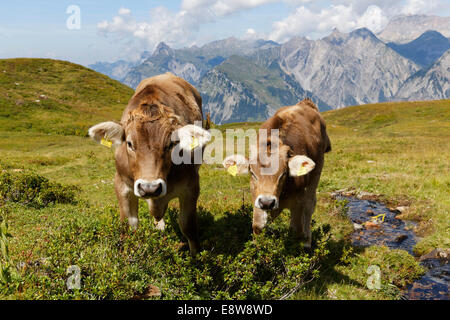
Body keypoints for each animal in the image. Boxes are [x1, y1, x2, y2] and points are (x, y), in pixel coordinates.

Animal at [88, 72, 211, 255]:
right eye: (129, 144)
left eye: (170, 144)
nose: (149, 188)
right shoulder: (121, 184)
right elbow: (128, 225)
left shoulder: (191, 186)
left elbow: (188, 225)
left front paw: (197, 257)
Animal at [222, 99, 330, 249]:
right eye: (252, 173)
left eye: (284, 173)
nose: (267, 202)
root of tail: (305, 102)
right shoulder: (256, 198)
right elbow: (257, 226)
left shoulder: (298, 201)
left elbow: (296, 230)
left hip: (317, 170)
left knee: (309, 207)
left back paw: (307, 242)